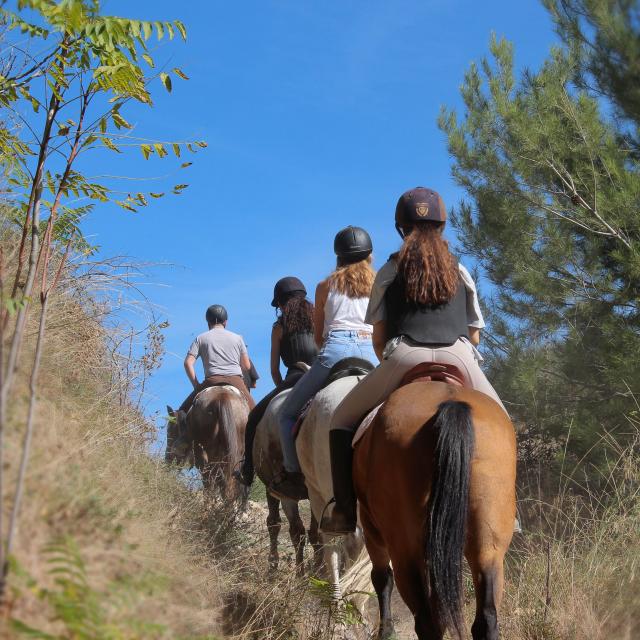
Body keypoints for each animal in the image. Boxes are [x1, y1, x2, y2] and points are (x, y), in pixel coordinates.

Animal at [352, 380, 516, 640]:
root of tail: (450, 403)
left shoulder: (371, 530)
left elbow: (381, 578)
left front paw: (386, 631)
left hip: (404, 551)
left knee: (426, 622)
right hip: (489, 548)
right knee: (486, 619)